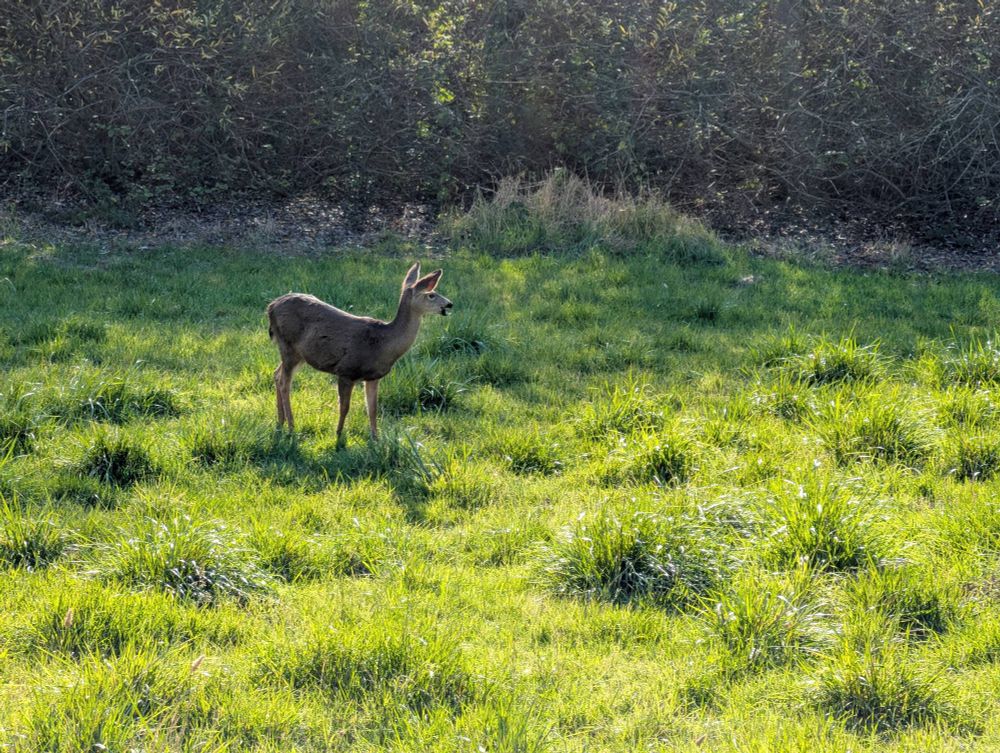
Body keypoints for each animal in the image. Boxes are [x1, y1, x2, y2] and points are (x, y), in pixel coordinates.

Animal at [267, 262, 452, 443]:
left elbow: (372, 408)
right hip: (288, 346)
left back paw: (280, 422)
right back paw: (291, 427)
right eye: (431, 295)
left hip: (299, 354)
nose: (450, 304)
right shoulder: (346, 371)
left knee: (276, 374)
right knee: (284, 382)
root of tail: (271, 307)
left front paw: (376, 439)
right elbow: (345, 407)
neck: (383, 344)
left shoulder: (373, 377)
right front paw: (339, 435)